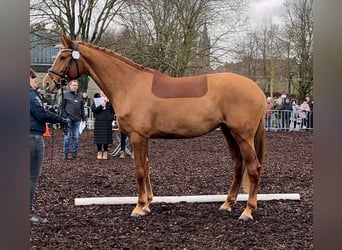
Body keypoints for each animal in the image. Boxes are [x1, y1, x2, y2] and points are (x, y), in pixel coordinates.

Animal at [43, 35, 268, 221]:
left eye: (63, 57)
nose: (47, 84)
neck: (129, 84)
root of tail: (257, 90)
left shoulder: (138, 137)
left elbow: (140, 170)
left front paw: (139, 206)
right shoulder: (143, 138)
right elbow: (148, 167)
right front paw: (147, 204)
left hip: (242, 136)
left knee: (253, 168)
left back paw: (248, 211)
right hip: (229, 133)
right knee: (238, 166)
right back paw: (227, 204)